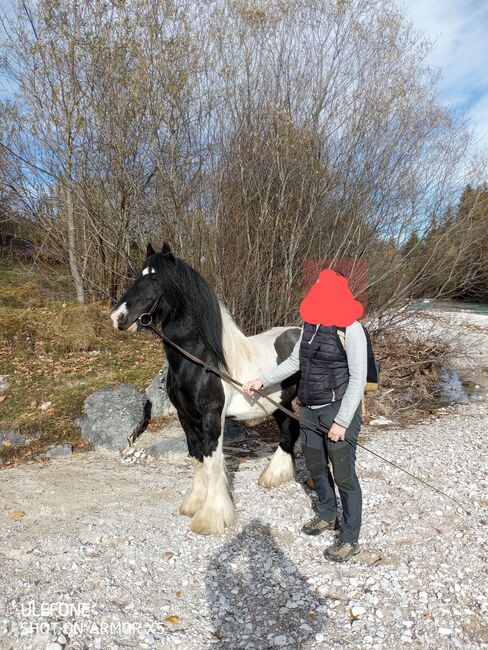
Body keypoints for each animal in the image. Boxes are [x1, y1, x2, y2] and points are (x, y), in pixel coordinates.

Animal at [111, 242, 302, 532]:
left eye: (155, 279)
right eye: (137, 276)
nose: (118, 317)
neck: (203, 360)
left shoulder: (212, 417)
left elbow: (213, 463)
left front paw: (211, 517)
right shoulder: (186, 418)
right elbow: (197, 458)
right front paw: (193, 504)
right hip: (281, 404)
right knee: (289, 431)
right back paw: (273, 476)